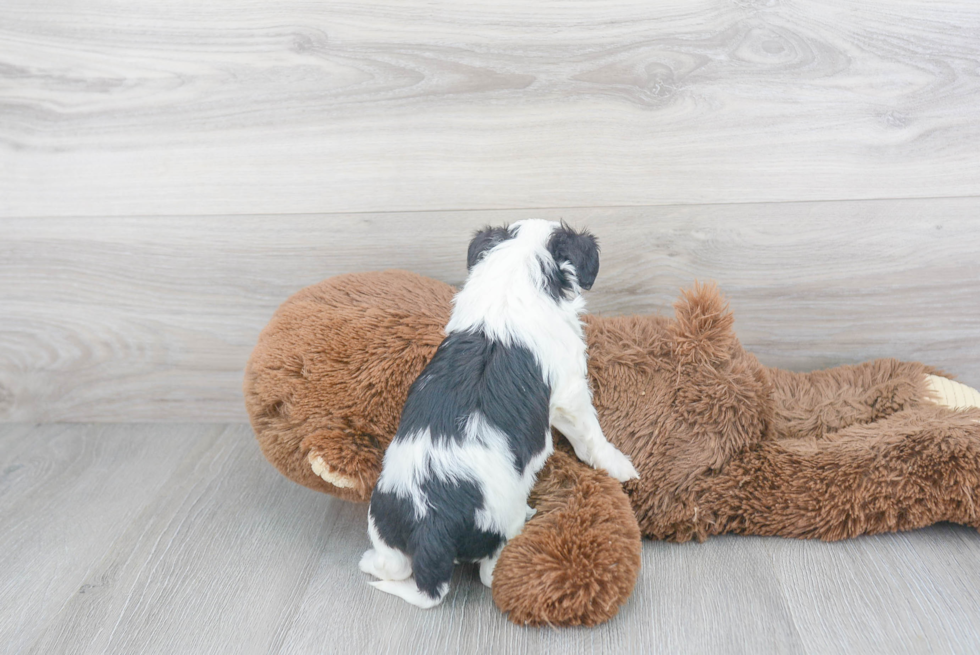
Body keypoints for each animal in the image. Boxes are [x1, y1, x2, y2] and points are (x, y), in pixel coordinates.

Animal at [356, 220, 640, 608]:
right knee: (489, 575)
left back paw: (369, 562)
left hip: (385, 515)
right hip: (500, 524)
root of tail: (432, 526)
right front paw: (618, 465)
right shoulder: (570, 391)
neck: (512, 276)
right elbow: (590, 434)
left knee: (394, 565)